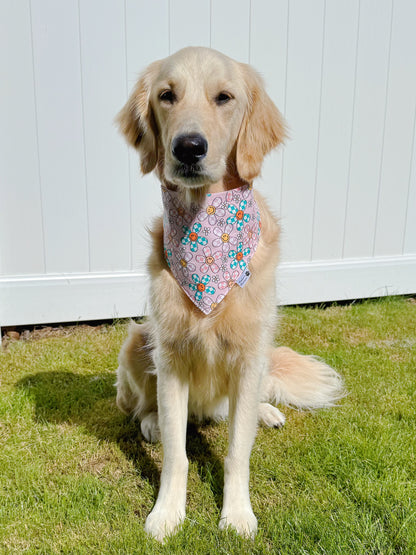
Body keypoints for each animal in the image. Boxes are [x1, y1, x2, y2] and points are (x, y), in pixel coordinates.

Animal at [115, 47, 342, 544]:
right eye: (167, 95)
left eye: (224, 97)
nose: (188, 147)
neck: (207, 227)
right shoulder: (172, 358)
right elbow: (177, 456)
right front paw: (167, 513)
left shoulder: (250, 354)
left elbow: (239, 451)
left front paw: (237, 514)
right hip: (138, 341)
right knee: (141, 405)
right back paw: (151, 421)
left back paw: (264, 411)